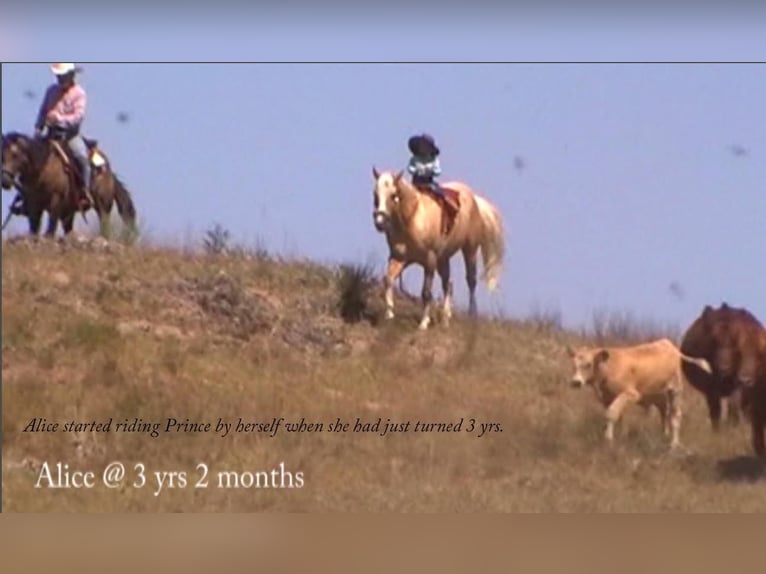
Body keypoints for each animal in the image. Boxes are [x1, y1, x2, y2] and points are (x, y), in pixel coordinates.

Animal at [1, 132, 137, 240]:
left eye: (15, 155)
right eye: (2, 156)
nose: (5, 181)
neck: (43, 168)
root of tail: (108, 171)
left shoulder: (56, 200)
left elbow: (51, 225)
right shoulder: (33, 203)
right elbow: (34, 226)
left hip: (102, 205)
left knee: (104, 223)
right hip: (69, 211)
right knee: (68, 228)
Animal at [374, 166, 508, 330]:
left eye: (393, 195)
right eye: (375, 195)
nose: (379, 223)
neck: (412, 220)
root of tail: (474, 198)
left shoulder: (429, 261)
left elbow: (426, 292)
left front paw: (424, 323)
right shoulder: (399, 259)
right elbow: (388, 280)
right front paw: (389, 315)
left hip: (469, 250)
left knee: (471, 280)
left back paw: (471, 313)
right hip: (443, 259)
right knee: (448, 284)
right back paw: (445, 318)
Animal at [564, 340, 712, 452]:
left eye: (588, 364)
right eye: (573, 364)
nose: (576, 382)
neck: (608, 367)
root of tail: (670, 346)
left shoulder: (630, 393)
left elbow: (611, 414)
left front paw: (608, 439)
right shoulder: (608, 399)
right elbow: (618, 417)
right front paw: (618, 436)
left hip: (675, 391)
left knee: (675, 417)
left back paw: (673, 445)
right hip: (659, 396)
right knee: (664, 414)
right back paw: (664, 436)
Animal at [684, 306, 766, 460]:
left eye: (734, 344)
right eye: (714, 341)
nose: (724, 367)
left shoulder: (738, 386)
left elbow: (734, 405)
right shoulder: (711, 389)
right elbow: (715, 410)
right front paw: (717, 432)